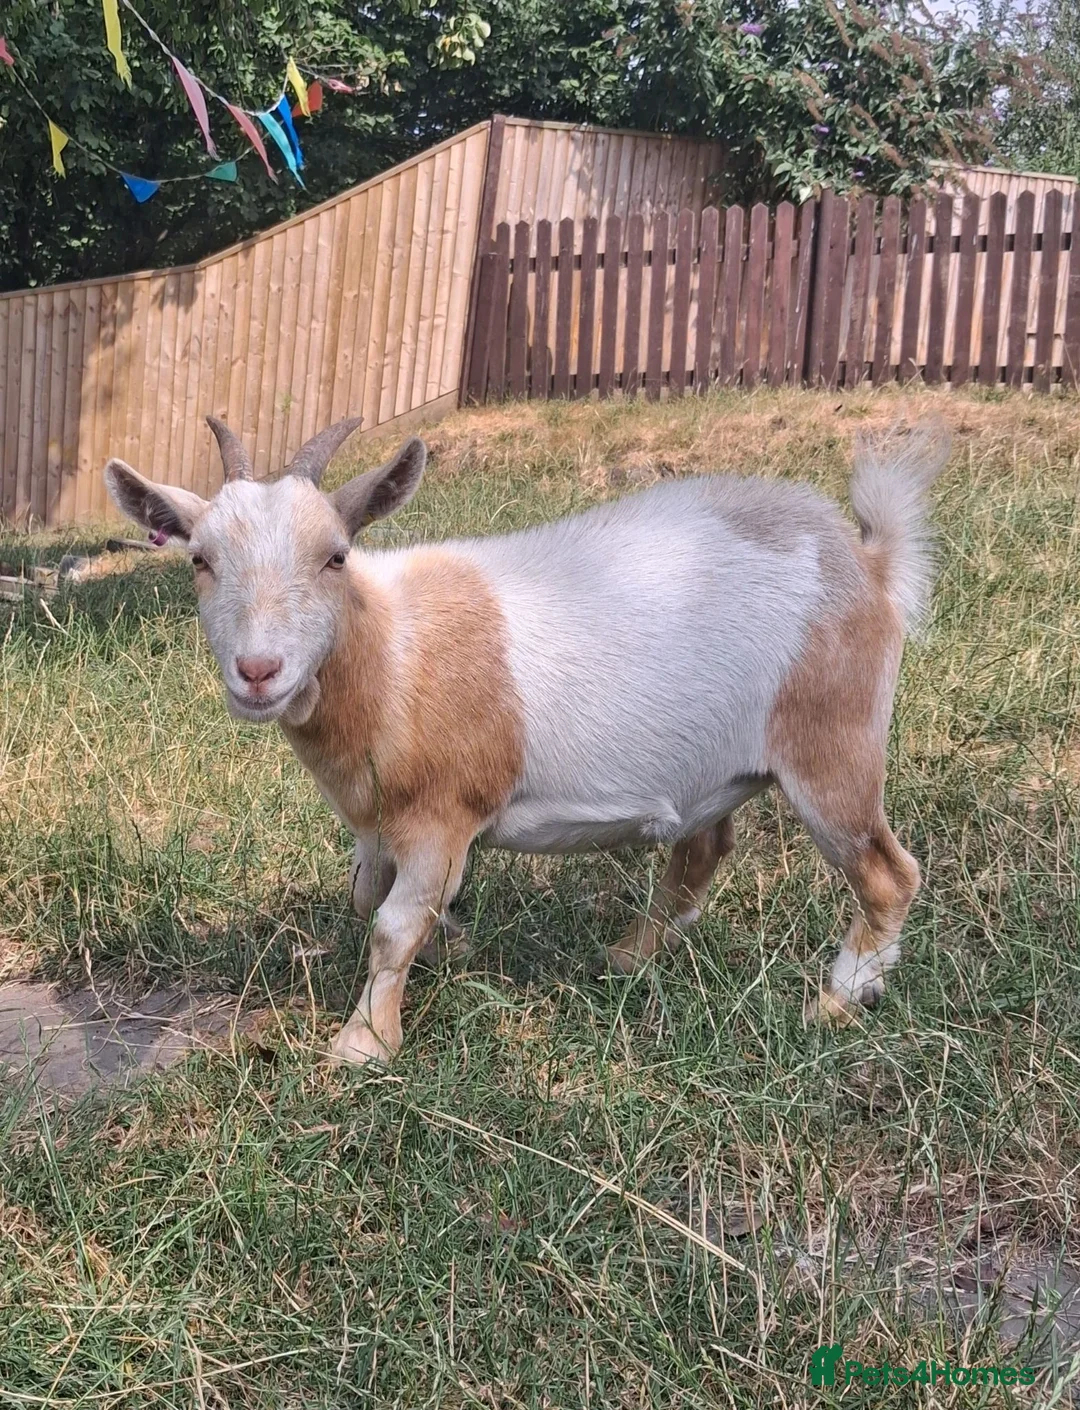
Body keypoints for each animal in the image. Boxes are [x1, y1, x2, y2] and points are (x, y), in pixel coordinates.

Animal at [104, 416, 949, 1064]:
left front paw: (365, 1044)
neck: (389, 650)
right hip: (718, 764)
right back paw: (628, 958)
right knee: (702, 850)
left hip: (832, 738)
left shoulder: (444, 811)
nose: (258, 671)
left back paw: (838, 1000)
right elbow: (368, 896)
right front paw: (454, 940)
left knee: (887, 873)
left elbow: (390, 926)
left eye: (335, 555)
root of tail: (871, 563)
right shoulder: (382, 822)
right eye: (200, 560)